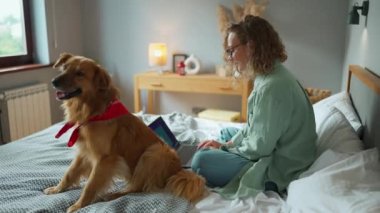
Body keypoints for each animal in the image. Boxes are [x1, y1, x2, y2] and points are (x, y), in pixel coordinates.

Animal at [43, 52, 206, 212]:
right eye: (64, 68)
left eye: (80, 73)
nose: (53, 81)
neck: (94, 112)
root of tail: (177, 170)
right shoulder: (84, 152)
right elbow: (69, 173)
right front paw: (57, 189)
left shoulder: (105, 158)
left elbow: (90, 184)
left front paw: (78, 205)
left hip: (154, 152)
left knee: (137, 188)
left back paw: (114, 194)